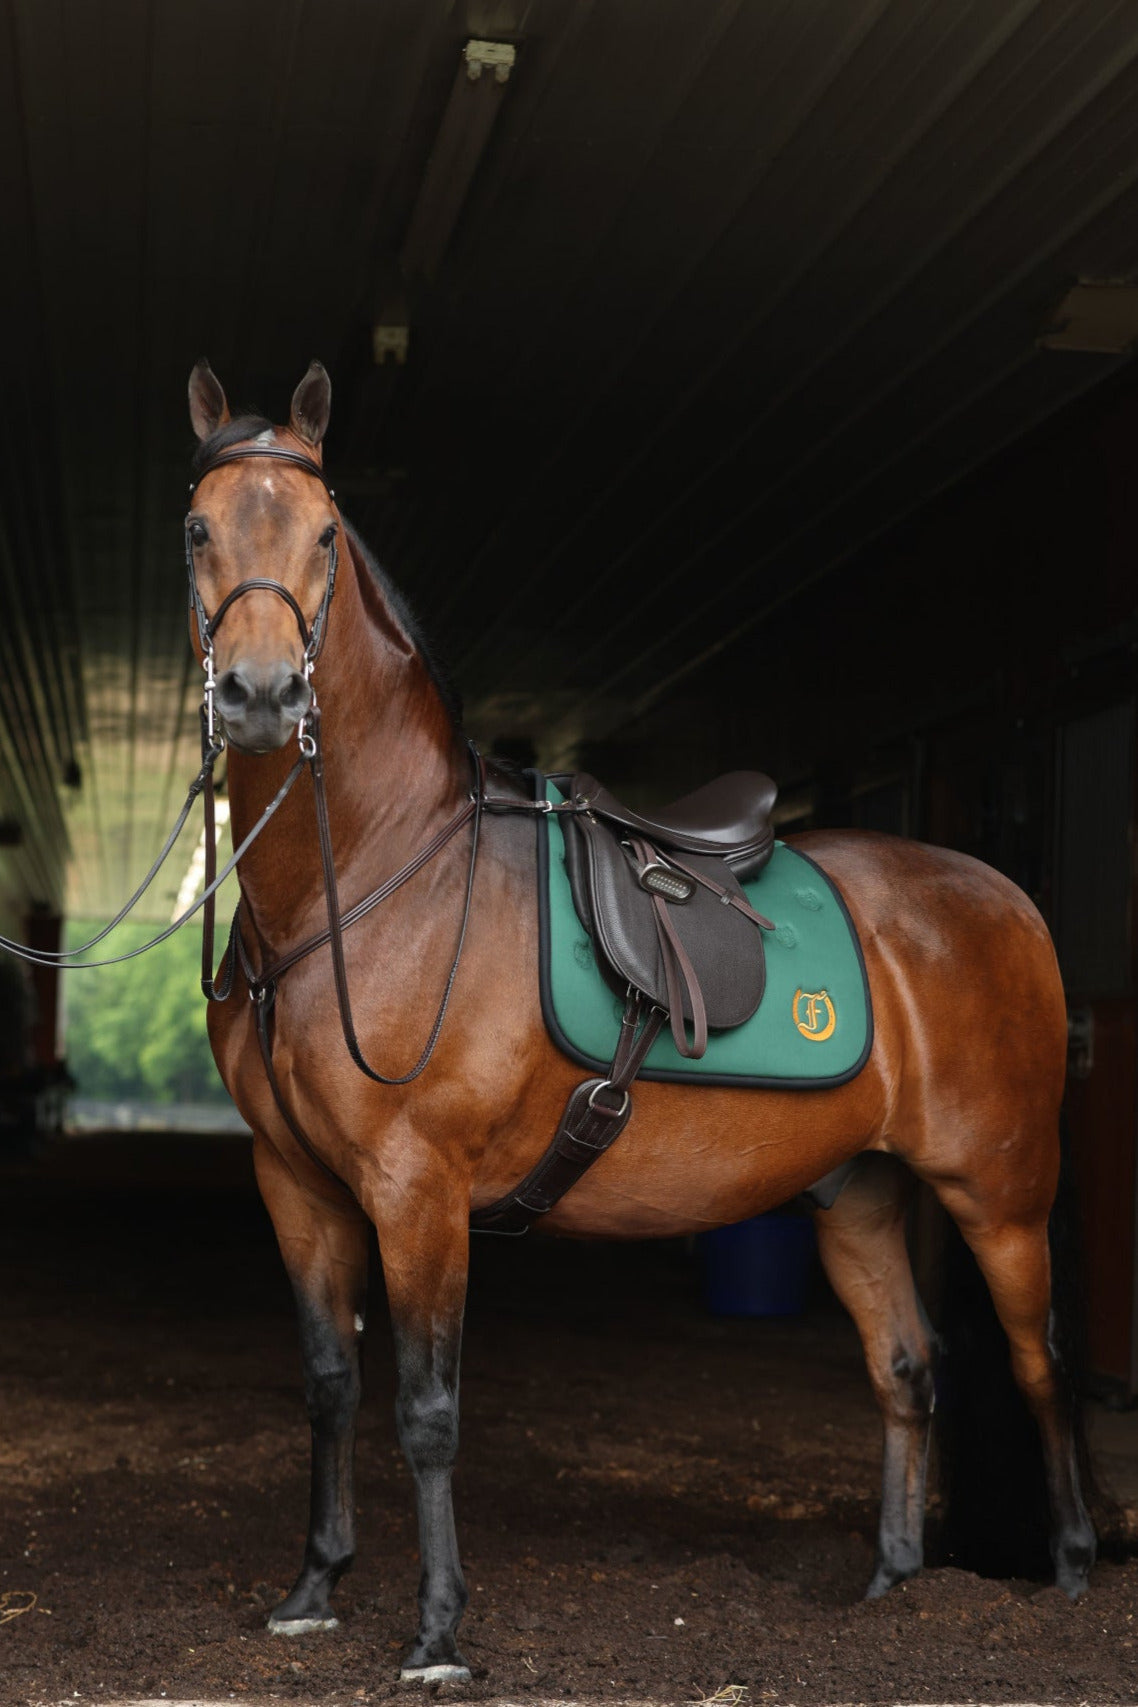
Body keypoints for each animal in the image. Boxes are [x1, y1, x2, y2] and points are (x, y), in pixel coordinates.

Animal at [185, 358, 1095, 1684]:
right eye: (198, 529)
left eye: (324, 535)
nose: (260, 697)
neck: (375, 877)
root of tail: (1003, 896)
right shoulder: (294, 1184)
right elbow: (329, 1384)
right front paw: (313, 1586)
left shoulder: (418, 1192)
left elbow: (425, 1409)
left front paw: (438, 1631)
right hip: (858, 1193)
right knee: (906, 1368)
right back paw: (891, 1585)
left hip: (1001, 1193)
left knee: (1038, 1365)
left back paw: (1071, 1575)